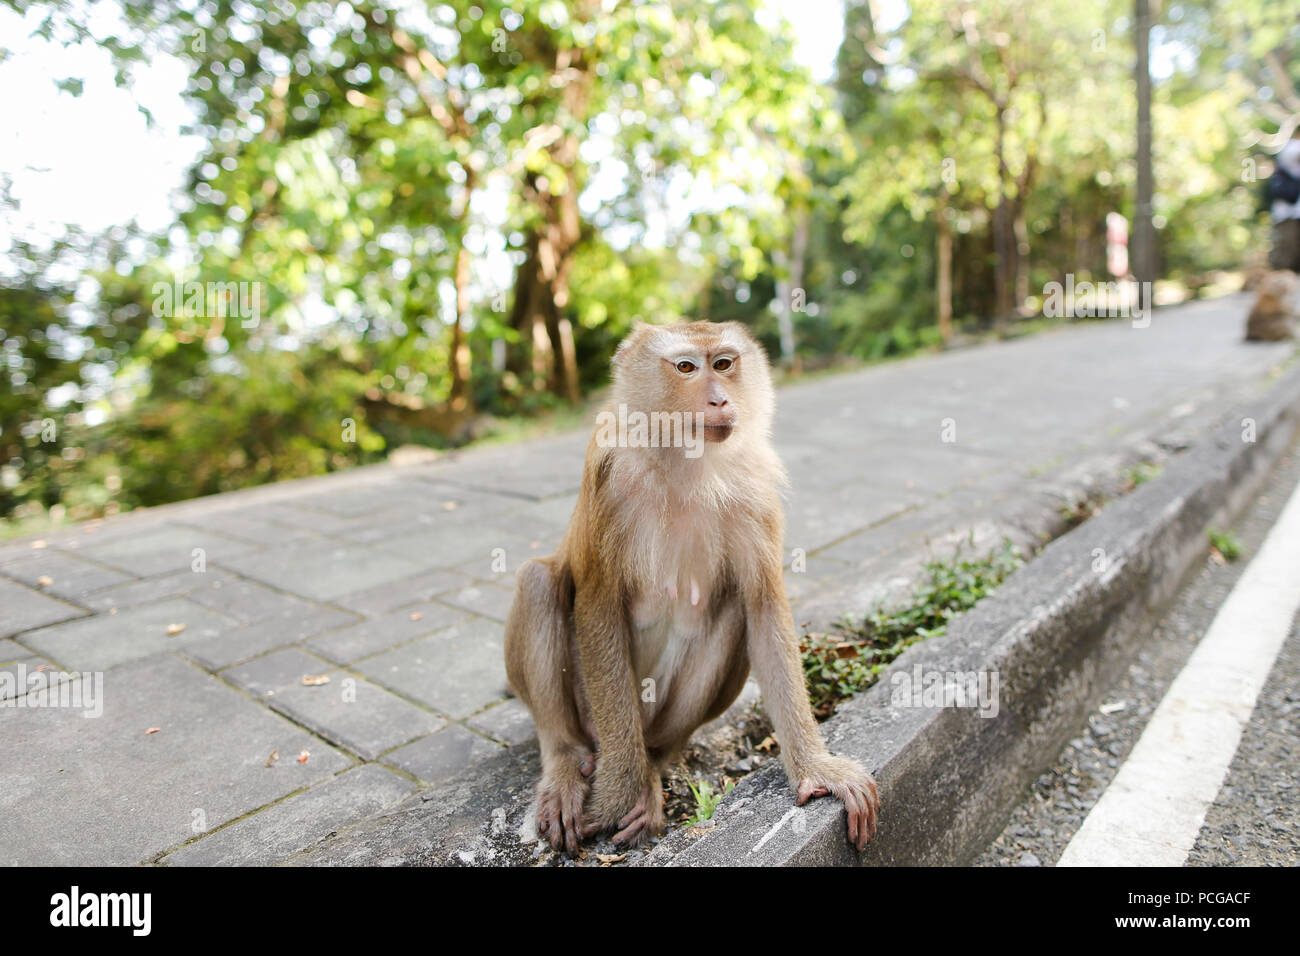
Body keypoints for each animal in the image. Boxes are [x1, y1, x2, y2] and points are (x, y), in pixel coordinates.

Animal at [501, 319, 878, 853]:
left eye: (723, 363)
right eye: (685, 367)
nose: (719, 399)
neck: (686, 459)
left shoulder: (756, 490)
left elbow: (761, 606)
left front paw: (817, 768)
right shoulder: (607, 473)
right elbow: (598, 602)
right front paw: (616, 796)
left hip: (659, 717)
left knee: (734, 613)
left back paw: (655, 767)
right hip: (591, 714)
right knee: (537, 582)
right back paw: (568, 763)